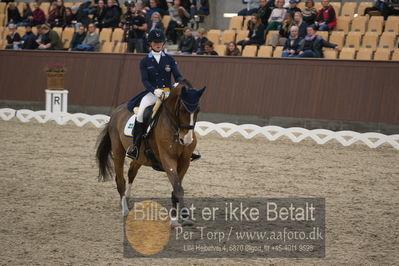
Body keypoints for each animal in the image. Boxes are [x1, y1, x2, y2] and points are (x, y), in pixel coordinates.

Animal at [96, 80, 206, 225]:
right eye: (182, 110)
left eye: (198, 110)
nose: (187, 140)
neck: (174, 126)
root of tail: (116, 110)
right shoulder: (167, 159)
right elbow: (177, 188)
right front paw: (177, 220)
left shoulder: (185, 161)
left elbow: (177, 188)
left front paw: (183, 217)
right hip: (118, 151)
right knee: (120, 180)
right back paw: (125, 209)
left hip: (140, 157)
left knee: (131, 172)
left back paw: (127, 200)